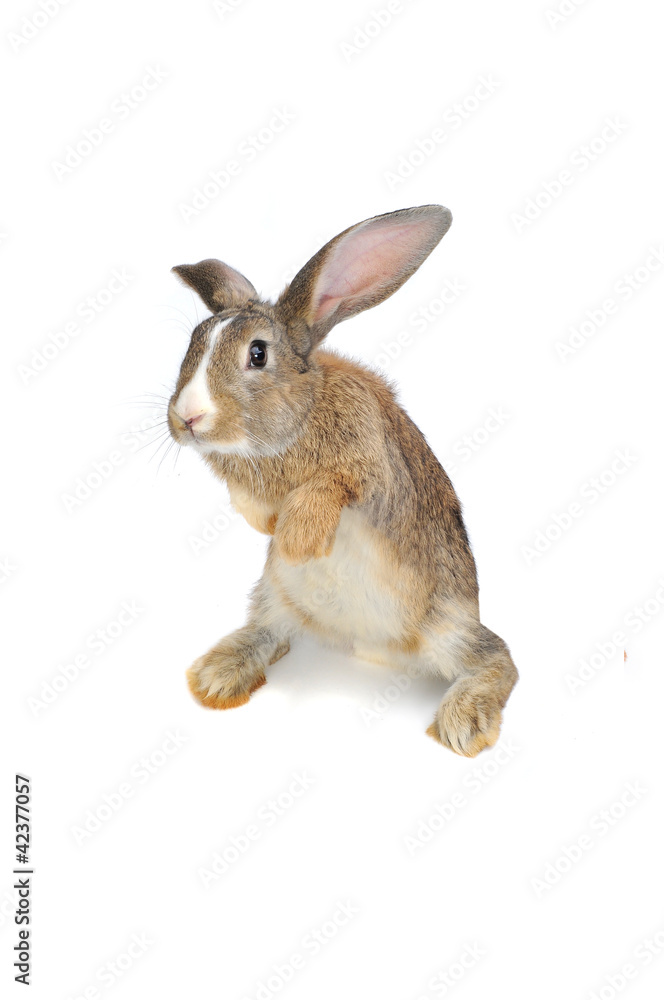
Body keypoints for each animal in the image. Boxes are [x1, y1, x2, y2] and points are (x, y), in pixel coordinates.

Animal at [167, 205, 518, 756]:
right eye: (192, 343)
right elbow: (255, 508)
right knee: (272, 632)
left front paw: (297, 538)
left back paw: (464, 723)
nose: (187, 418)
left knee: (497, 658)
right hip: (275, 597)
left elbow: (327, 488)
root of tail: (374, 651)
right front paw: (273, 528)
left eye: (258, 354)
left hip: (448, 626)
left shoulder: (367, 465)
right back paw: (217, 676)